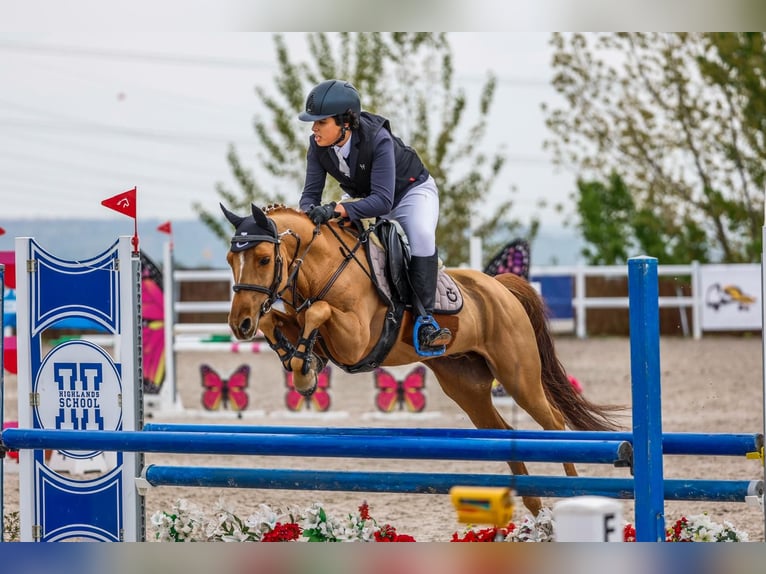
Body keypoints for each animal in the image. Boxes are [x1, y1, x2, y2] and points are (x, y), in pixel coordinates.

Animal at [222, 203, 625, 515]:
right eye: (230, 259)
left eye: (263, 258)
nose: (240, 324)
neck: (324, 269)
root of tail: (501, 287)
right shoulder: (309, 326)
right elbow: (282, 320)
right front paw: (299, 363)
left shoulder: (356, 341)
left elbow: (318, 311)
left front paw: (304, 370)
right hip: (466, 386)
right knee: (503, 432)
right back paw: (535, 510)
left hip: (518, 376)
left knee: (553, 421)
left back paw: (574, 497)